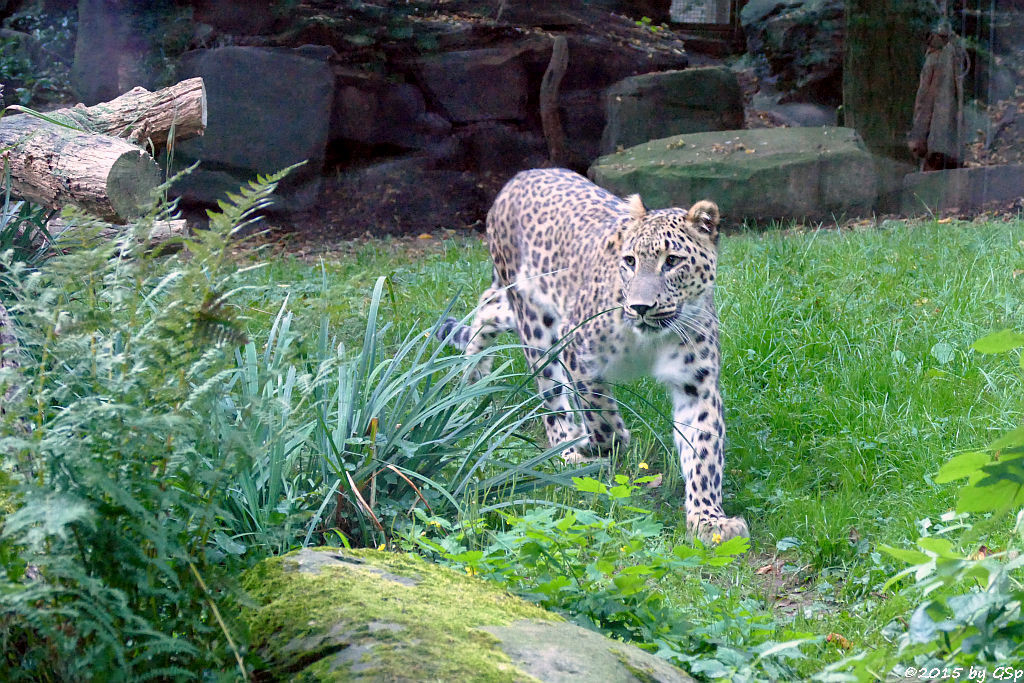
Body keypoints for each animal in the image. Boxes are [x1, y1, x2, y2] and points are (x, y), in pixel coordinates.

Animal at [436, 169, 749, 544]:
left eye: (672, 261)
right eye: (630, 261)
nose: (640, 307)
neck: (648, 340)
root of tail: (519, 177)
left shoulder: (696, 384)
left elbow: (703, 450)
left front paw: (709, 521)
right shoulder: (577, 351)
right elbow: (600, 414)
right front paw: (602, 442)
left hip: (515, 310)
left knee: (487, 307)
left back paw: (473, 380)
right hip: (535, 322)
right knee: (551, 394)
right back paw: (565, 449)